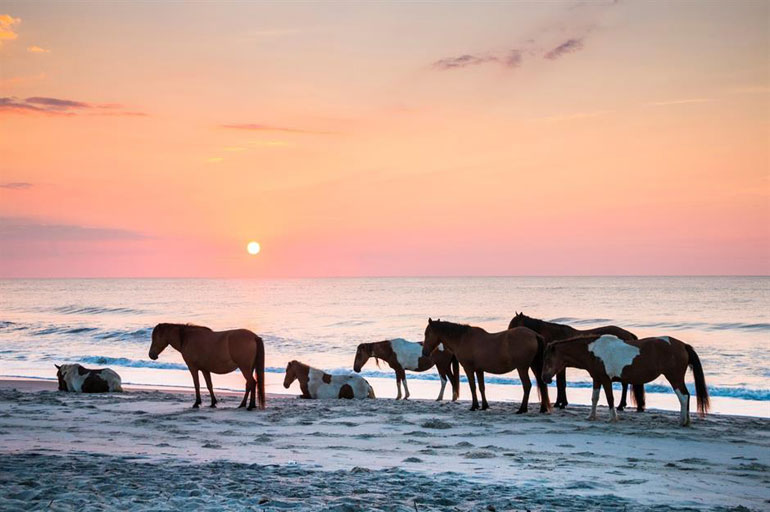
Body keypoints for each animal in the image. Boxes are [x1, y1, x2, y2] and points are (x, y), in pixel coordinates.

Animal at [416, 318, 548, 414]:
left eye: (427, 334)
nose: (424, 352)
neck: (462, 339)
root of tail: (534, 335)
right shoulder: (479, 370)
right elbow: (481, 387)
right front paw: (484, 406)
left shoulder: (469, 369)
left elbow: (473, 387)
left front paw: (474, 406)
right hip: (534, 366)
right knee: (541, 384)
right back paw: (542, 408)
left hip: (522, 368)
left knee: (527, 385)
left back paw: (522, 409)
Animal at [508, 312, 640, 412]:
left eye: (514, 325)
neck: (554, 335)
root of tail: (628, 334)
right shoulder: (560, 367)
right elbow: (561, 384)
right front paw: (560, 403)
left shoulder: (560, 367)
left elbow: (561, 384)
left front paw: (561, 403)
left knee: (624, 384)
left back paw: (621, 405)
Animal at [540, 334, 708, 426]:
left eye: (547, 359)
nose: (544, 378)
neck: (593, 351)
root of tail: (683, 345)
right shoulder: (597, 379)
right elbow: (595, 398)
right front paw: (591, 416)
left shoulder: (606, 380)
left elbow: (610, 398)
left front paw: (612, 418)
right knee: (686, 396)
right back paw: (687, 421)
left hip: (674, 377)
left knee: (683, 396)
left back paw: (682, 421)